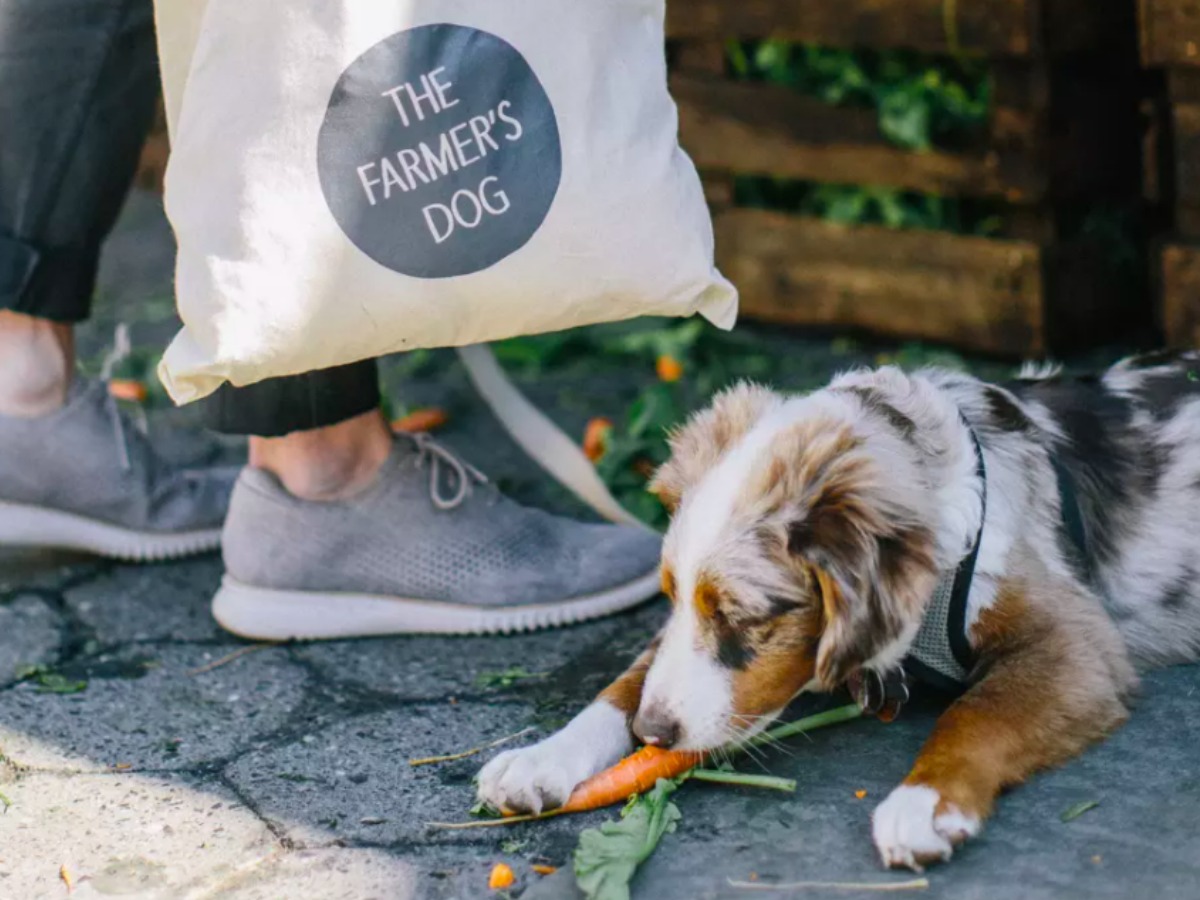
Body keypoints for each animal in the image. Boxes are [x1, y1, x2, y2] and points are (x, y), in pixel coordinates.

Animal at [477, 355, 1200, 873]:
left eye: (740, 614)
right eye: (673, 595)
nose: (653, 735)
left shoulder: (1077, 641)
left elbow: (978, 711)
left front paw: (923, 803)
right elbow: (626, 681)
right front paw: (540, 758)